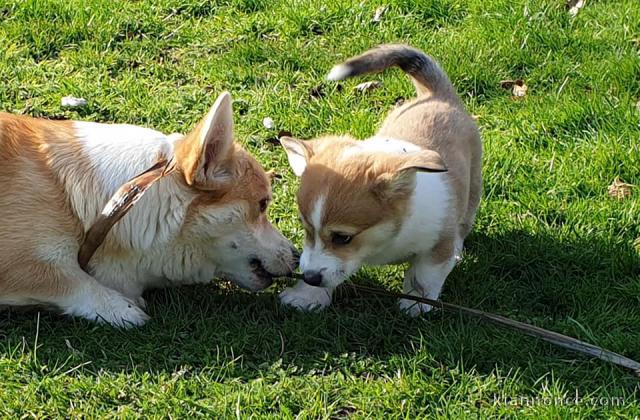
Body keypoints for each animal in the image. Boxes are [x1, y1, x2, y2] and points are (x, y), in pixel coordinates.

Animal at [278, 45, 480, 316]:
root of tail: (437, 94)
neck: (386, 241)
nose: (309, 278)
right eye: (306, 229)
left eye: (342, 237)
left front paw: (416, 303)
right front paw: (306, 295)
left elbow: (424, 275)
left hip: (473, 186)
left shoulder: (437, 245)